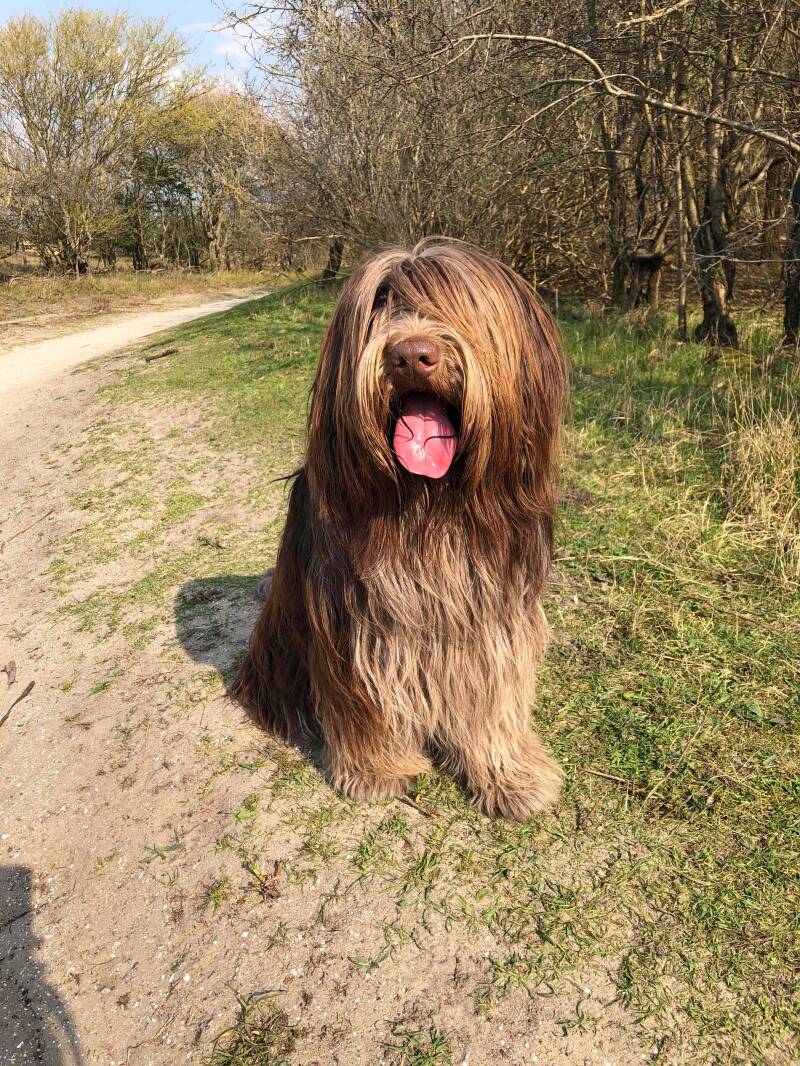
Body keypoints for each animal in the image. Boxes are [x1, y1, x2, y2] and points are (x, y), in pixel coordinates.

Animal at [234, 240, 568, 819]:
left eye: (454, 301)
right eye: (379, 304)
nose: (411, 354)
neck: (429, 504)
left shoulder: (491, 613)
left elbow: (492, 690)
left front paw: (510, 775)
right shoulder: (351, 623)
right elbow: (362, 698)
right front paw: (378, 771)